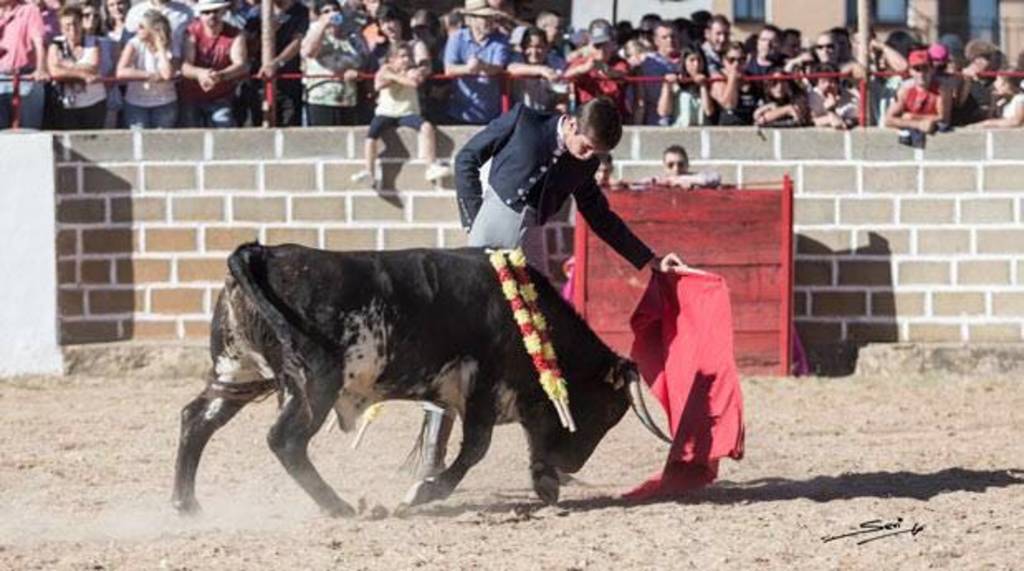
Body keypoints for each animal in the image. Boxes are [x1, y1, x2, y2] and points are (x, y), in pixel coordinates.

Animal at [171, 242, 669, 517]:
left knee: (197, 419)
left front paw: (545, 483)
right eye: (608, 410)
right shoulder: (483, 385)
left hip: (238, 371)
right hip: (313, 384)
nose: (572, 464)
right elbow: (475, 448)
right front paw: (420, 492)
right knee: (285, 440)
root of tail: (262, 252)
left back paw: (186, 504)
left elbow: (525, 437)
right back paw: (340, 507)